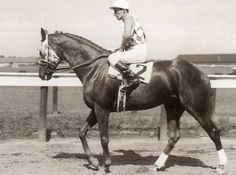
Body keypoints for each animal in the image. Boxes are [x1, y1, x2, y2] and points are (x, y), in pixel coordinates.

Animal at [38, 27, 227, 174]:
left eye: (40, 51)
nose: (41, 74)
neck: (94, 69)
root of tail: (201, 73)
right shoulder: (95, 108)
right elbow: (82, 132)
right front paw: (93, 162)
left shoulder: (102, 109)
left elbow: (104, 138)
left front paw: (107, 165)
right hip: (173, 106)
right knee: (174, 136)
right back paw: (157, 165)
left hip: (197, 108)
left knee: (213, 132)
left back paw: (221, 165)